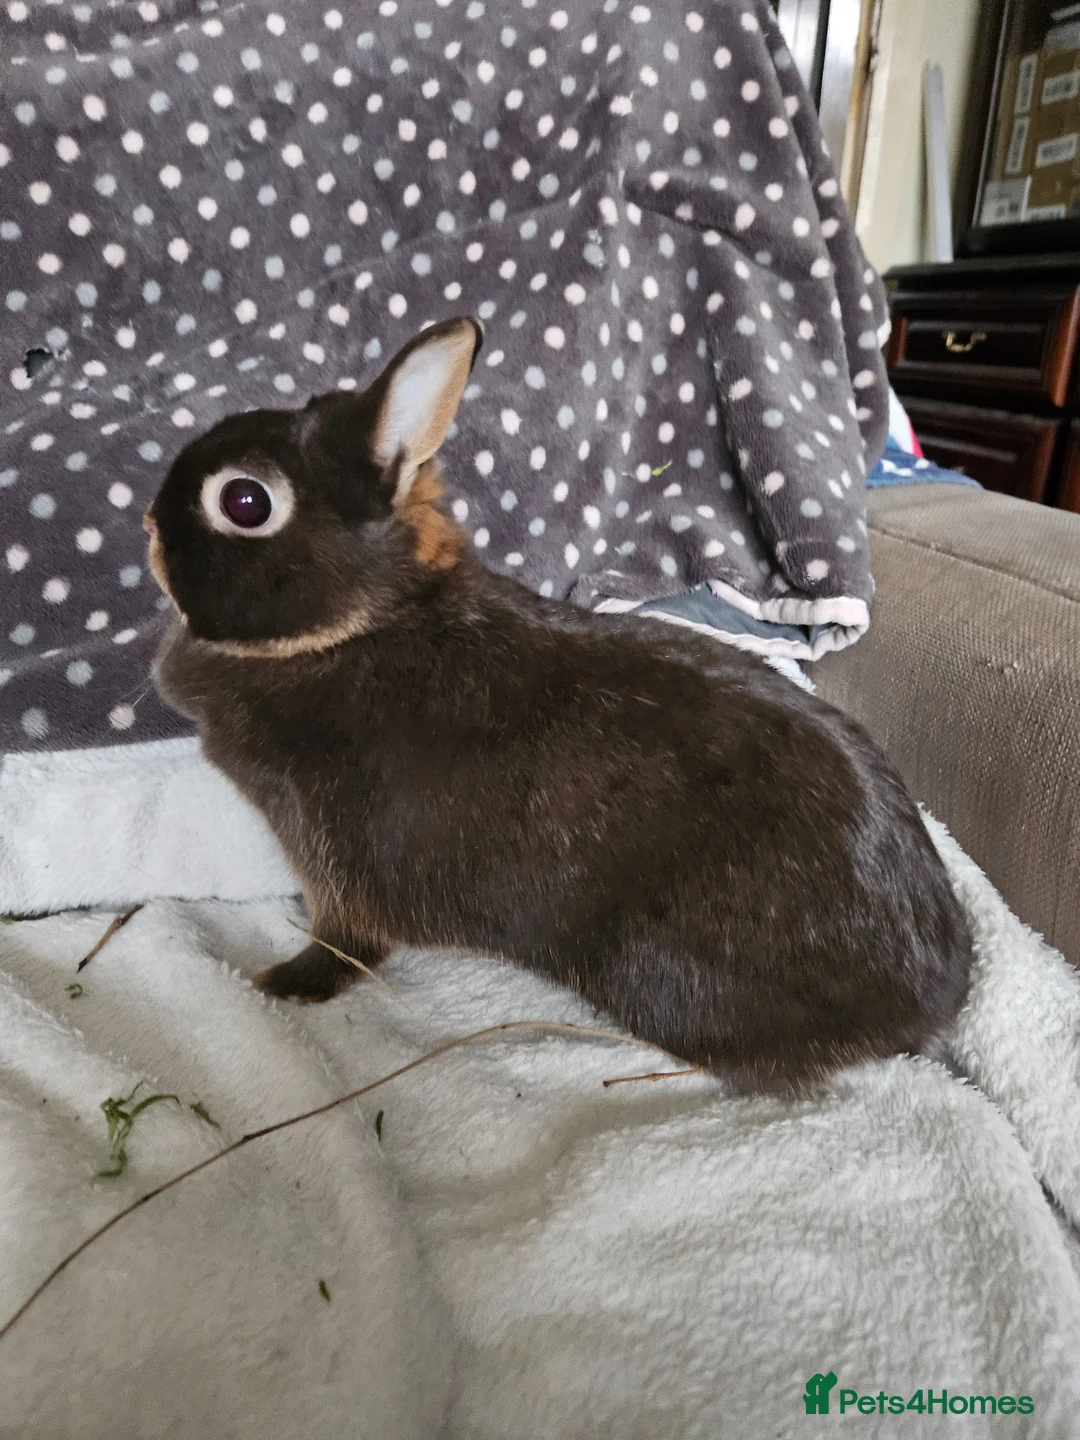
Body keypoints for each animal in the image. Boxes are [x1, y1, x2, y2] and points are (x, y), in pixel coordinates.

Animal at [146, 315, 973, 1097]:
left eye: (244, 500)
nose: (150, 527)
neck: (361, 625)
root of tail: (931, 1000)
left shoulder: (339, 858)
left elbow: (346, 941)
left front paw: (286, 982)